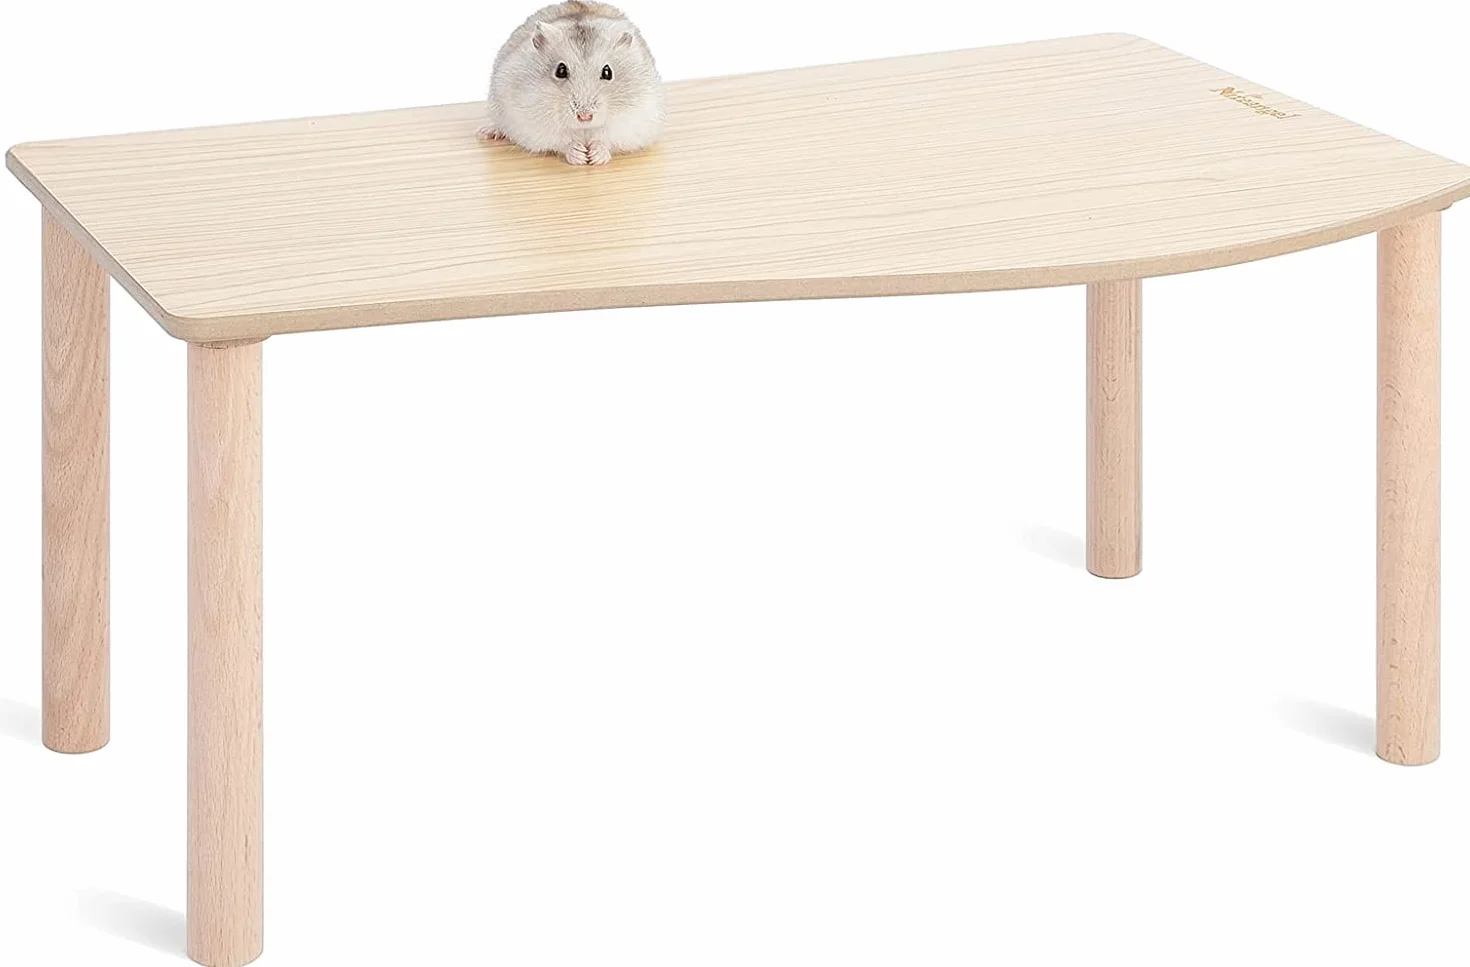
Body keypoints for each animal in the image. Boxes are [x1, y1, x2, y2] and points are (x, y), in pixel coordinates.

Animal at [478, 2, 666, 165]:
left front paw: (594, 157)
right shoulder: (533, 124)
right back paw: (487, 133)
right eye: (560, 70)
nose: (585, 116)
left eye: (608, 72)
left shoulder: (633, 121)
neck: (583, 129)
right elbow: (562, 141)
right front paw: (581, 156)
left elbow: (606, 139)